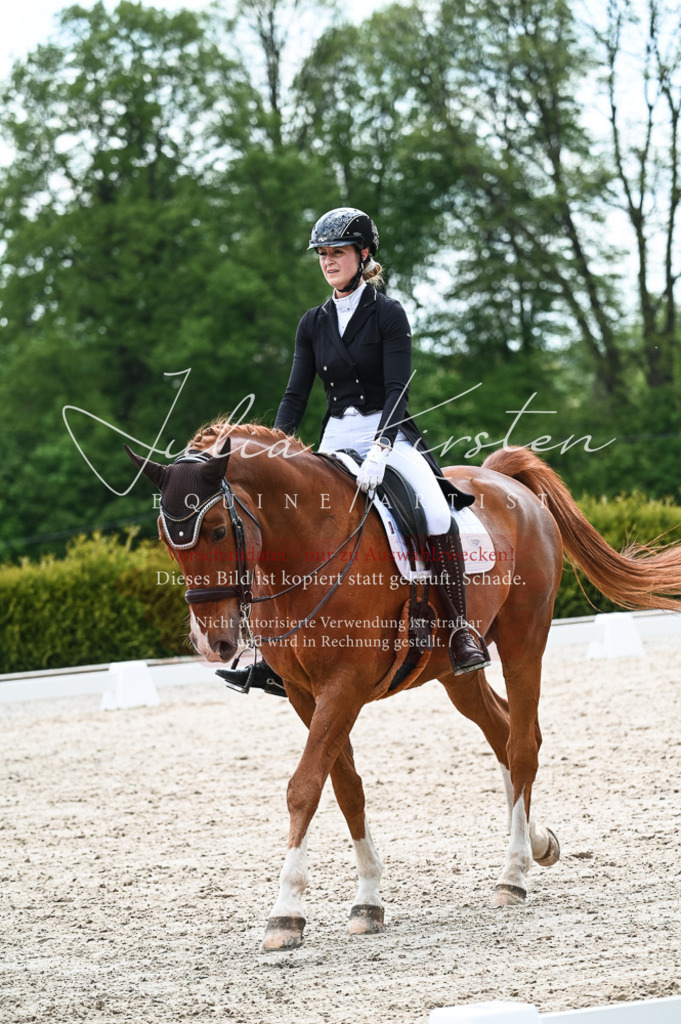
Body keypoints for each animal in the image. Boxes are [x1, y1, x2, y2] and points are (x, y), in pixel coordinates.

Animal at [127, 422, 681, 951]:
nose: (213, 642)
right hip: (456, 672)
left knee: (523, 744)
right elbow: (346, 788)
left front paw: (285, 914)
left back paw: (514, 873)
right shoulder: (306, 694)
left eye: (218, 530)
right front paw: (368, 901)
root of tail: (503, 480)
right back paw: (537, 841)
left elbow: (304, 788)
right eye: (166, 539)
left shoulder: (344, 687)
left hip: (524, 641)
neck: (307, 544)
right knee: (503, 733)